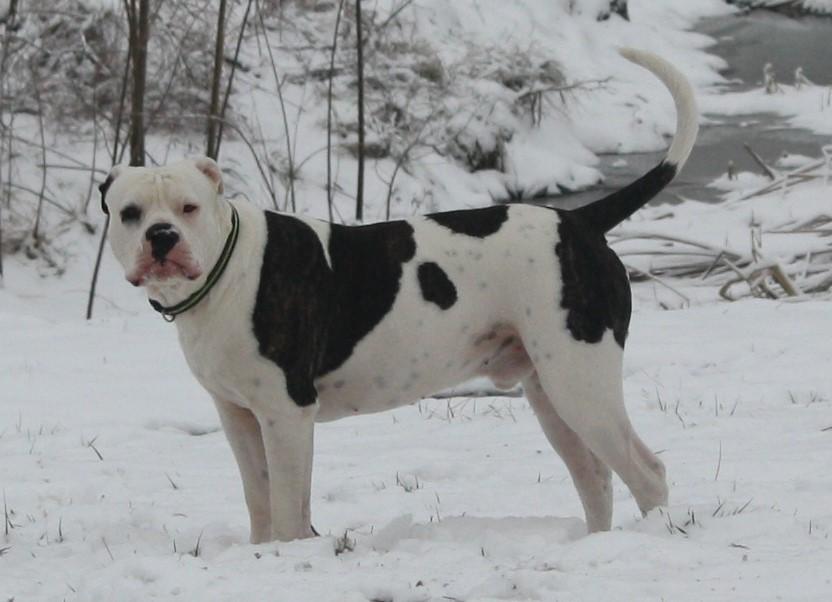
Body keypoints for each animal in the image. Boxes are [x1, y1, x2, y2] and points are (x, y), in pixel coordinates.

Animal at [101, 49, 700, 540]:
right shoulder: (239, 417)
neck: (227, 274)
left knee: (647, 474)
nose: (162, 236)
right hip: (551, 393)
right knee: (595, 477)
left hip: (581, 383)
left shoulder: (286, 413)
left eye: (189, 207)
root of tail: (581, 220)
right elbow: (261, 503)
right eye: (130, 212)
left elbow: (291, 510)